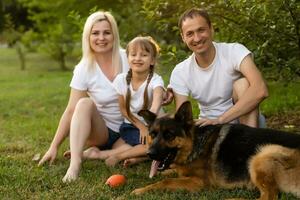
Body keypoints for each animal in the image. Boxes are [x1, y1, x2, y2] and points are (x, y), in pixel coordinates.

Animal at [132, 101, 300, 200]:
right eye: (153, 134)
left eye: (169, 135)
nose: (150, 154)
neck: (194, 144)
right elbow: (169, 173)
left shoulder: (199, 183)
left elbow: (166, 181)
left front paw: (140, 190)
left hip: (262, 154)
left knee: (269, 197)